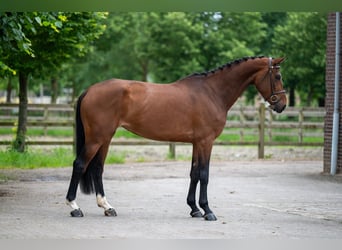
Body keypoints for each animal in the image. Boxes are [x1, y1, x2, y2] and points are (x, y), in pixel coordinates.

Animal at [65, 56, 288, 221]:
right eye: (277, 75)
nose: (282, 104)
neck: (212, 92)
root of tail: (90, 90)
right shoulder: (206, 142)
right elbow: (204, 174)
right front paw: (208, 211)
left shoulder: (197, 143)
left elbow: (194, 173)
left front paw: (194, 209)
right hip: (96, 138)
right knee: (80, 165)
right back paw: (74, 207)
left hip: (105, 138)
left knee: (97, 168)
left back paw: (107, 207)